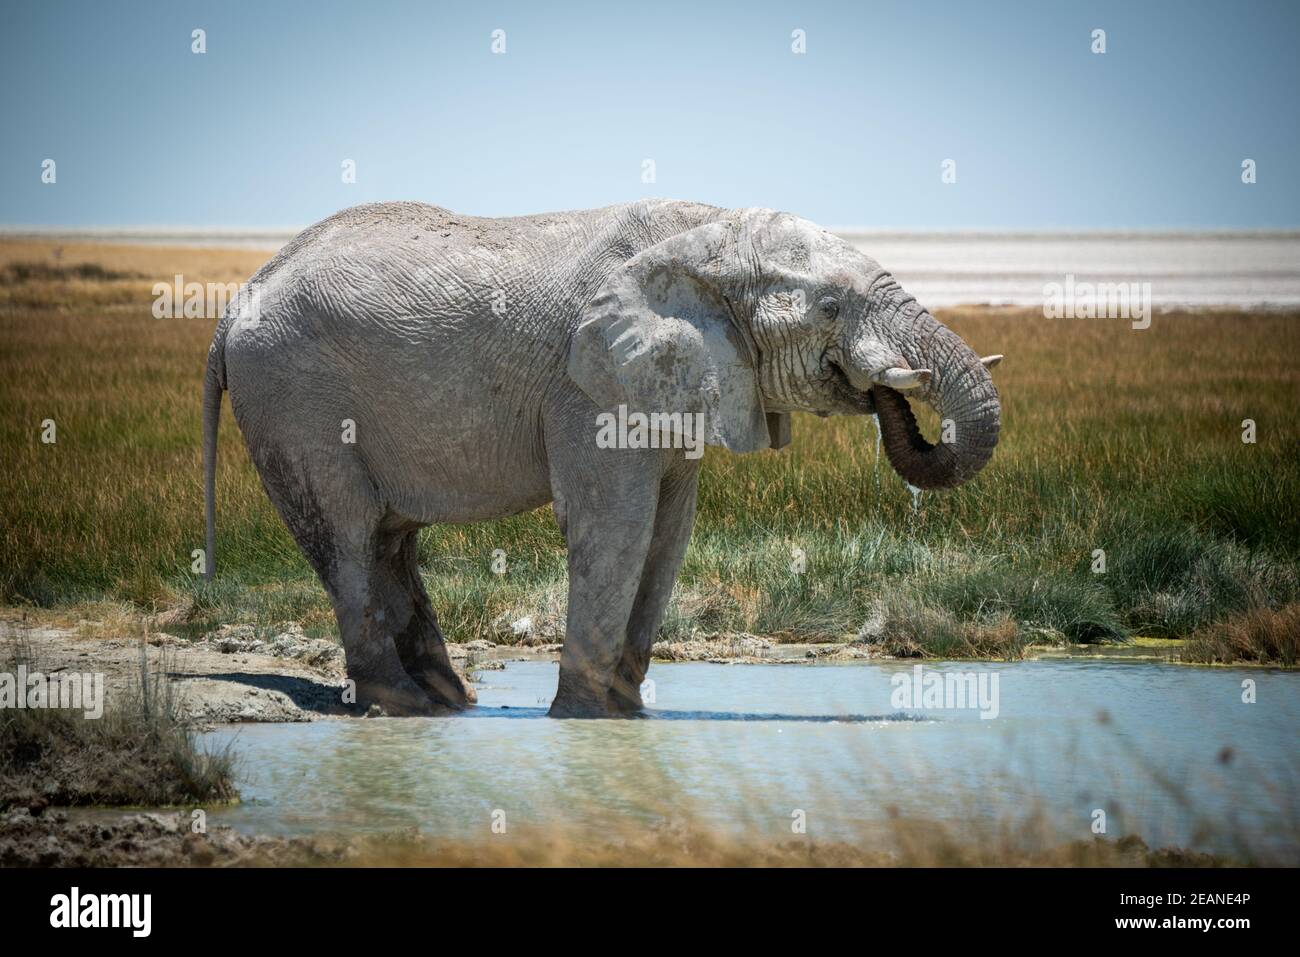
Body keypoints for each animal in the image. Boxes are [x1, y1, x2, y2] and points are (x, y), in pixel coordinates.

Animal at [202, 200, 1002, 718]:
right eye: (832, 307)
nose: (889, 391)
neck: (708, 234)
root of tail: (236, 299)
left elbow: (668, 535)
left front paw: (626, 716)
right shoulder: (587, 386)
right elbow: (614, 529)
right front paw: (583, 720)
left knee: (386, 539)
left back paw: (449, 702)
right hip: (292, 398)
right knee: (348, 536)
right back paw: (397, 705)